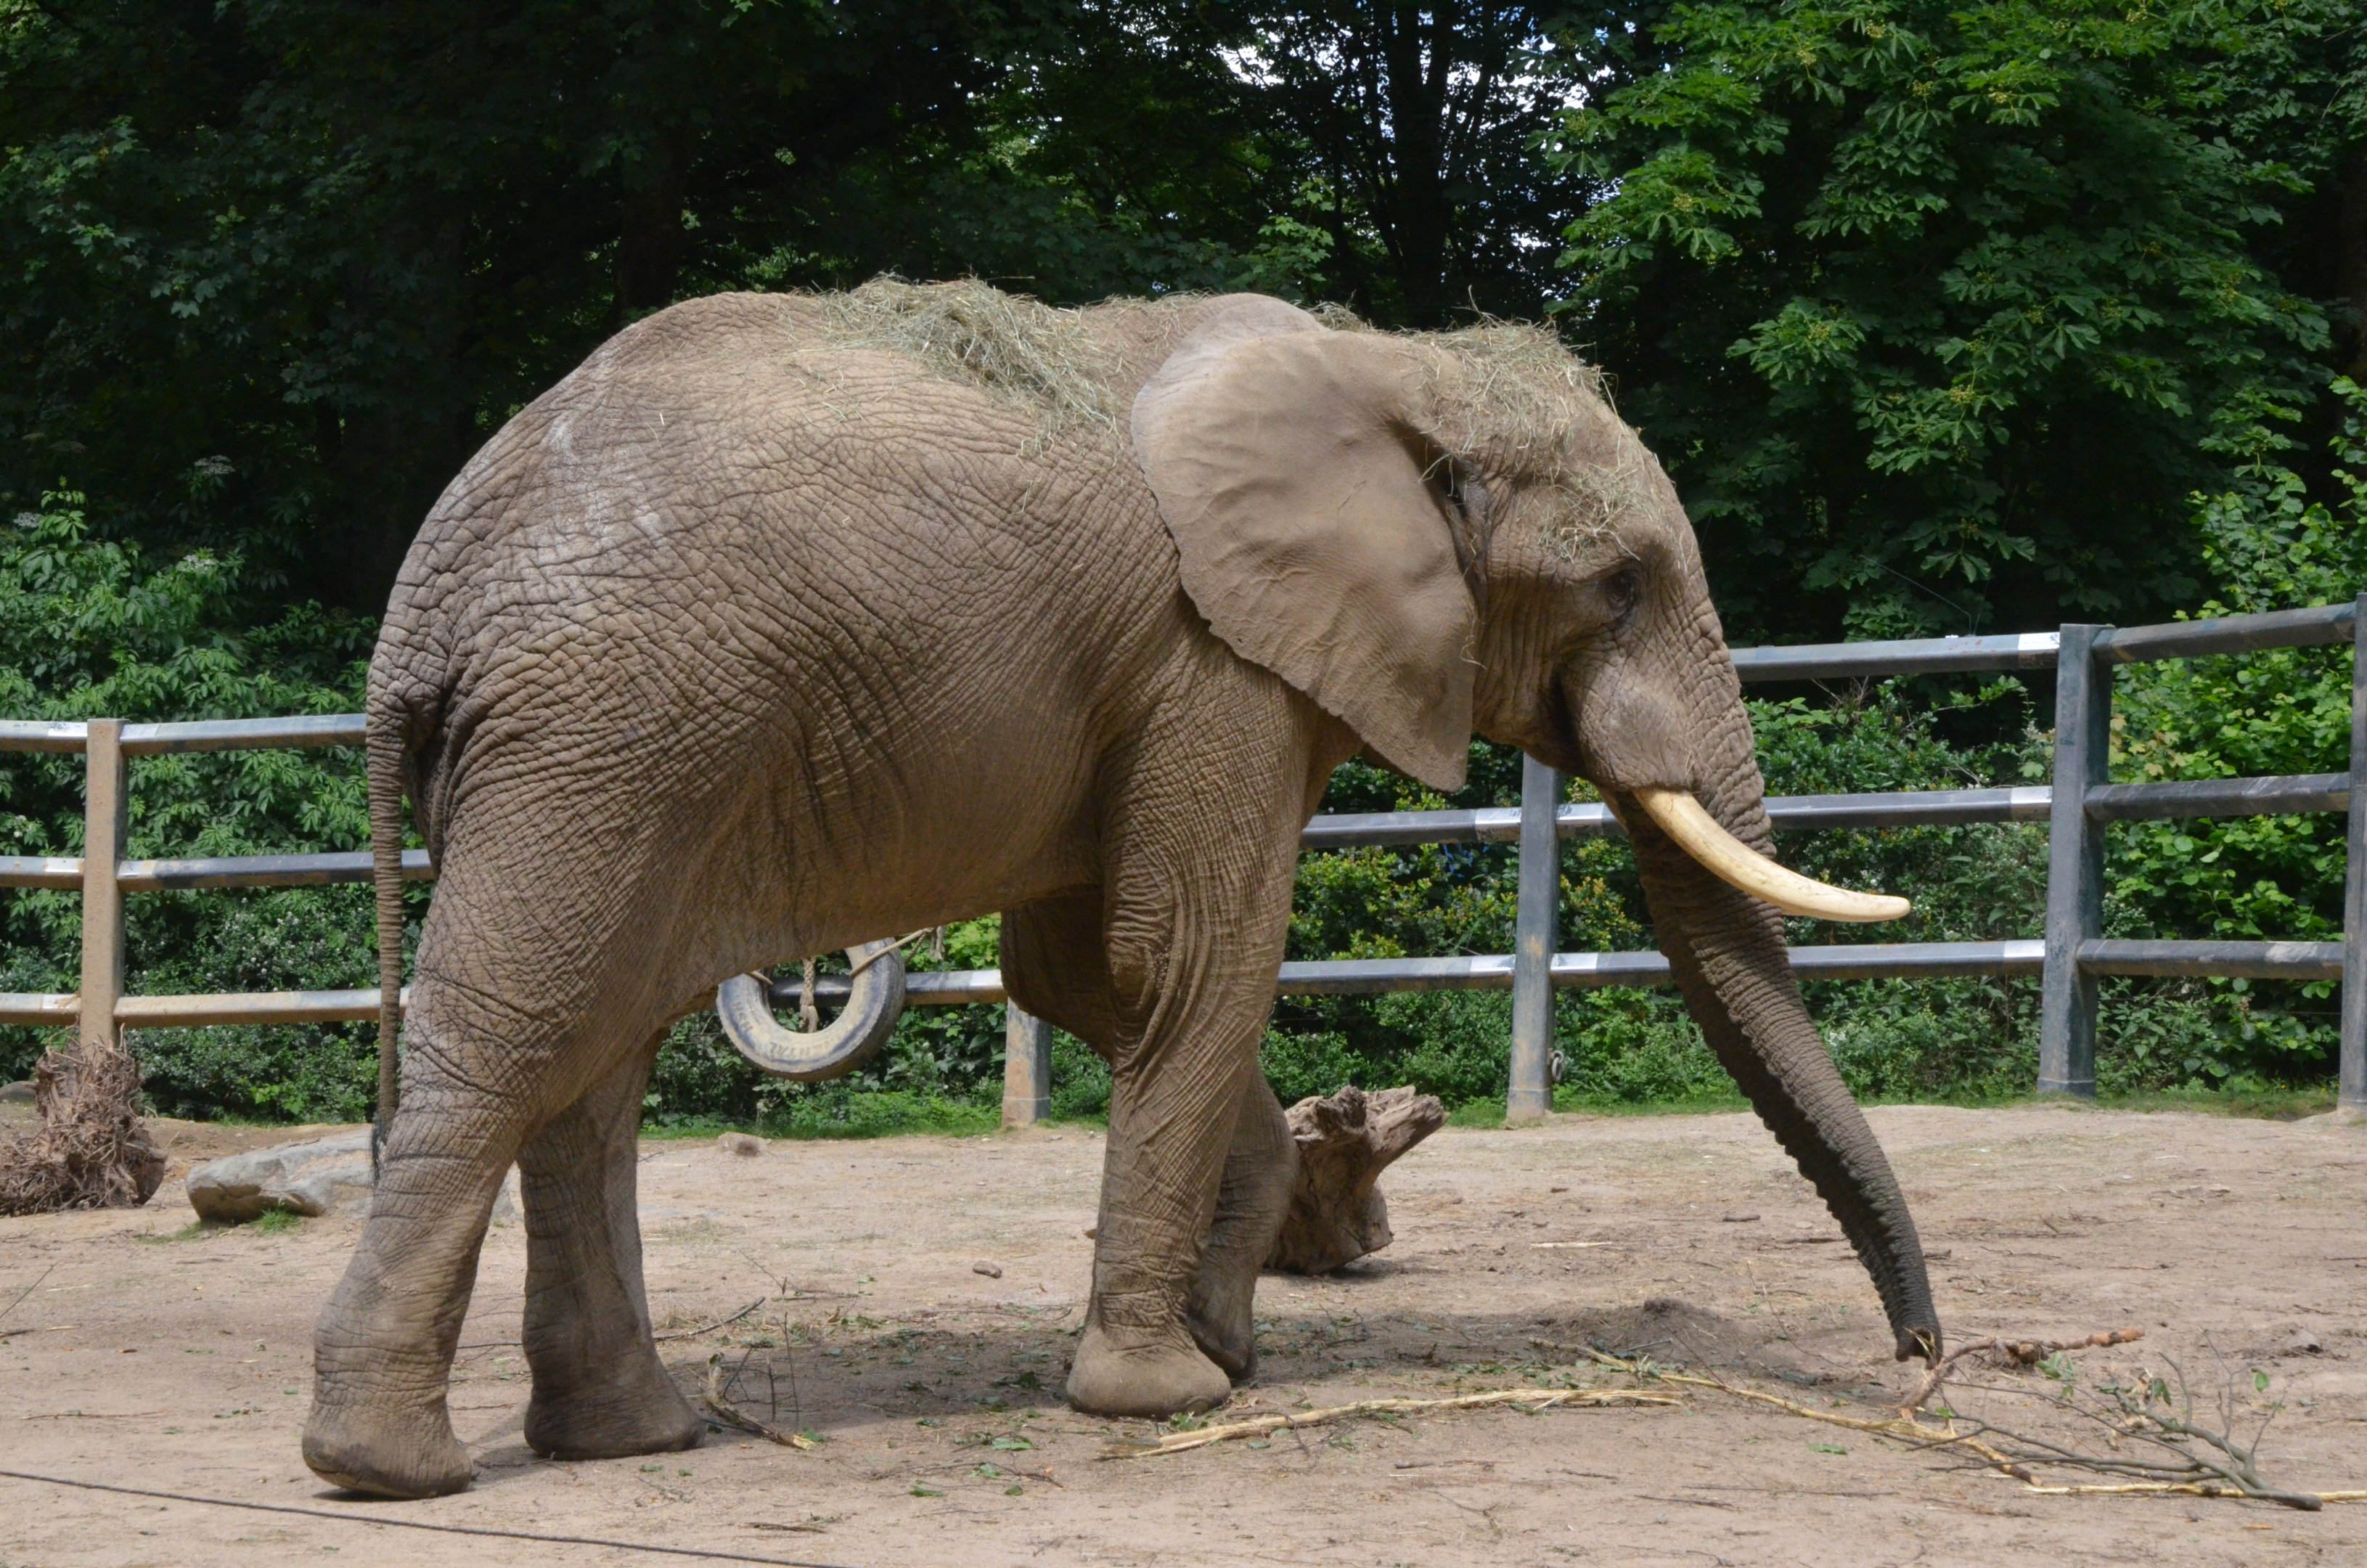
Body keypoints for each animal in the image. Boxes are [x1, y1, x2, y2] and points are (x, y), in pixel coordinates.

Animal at [303, 279, 1942, 1500]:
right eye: (1617, 588)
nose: (1919, 1369)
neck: (1391, 367)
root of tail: (415, 616)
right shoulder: (1213, 662)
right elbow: (1193, 959)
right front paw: (1162, 1399)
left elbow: (1085, 975)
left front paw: (1228, 1349)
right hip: (604, 736)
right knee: (516, 1039)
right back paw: (390, 1470)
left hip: (609, 757)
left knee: (595, 1060)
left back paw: (631, 1441)